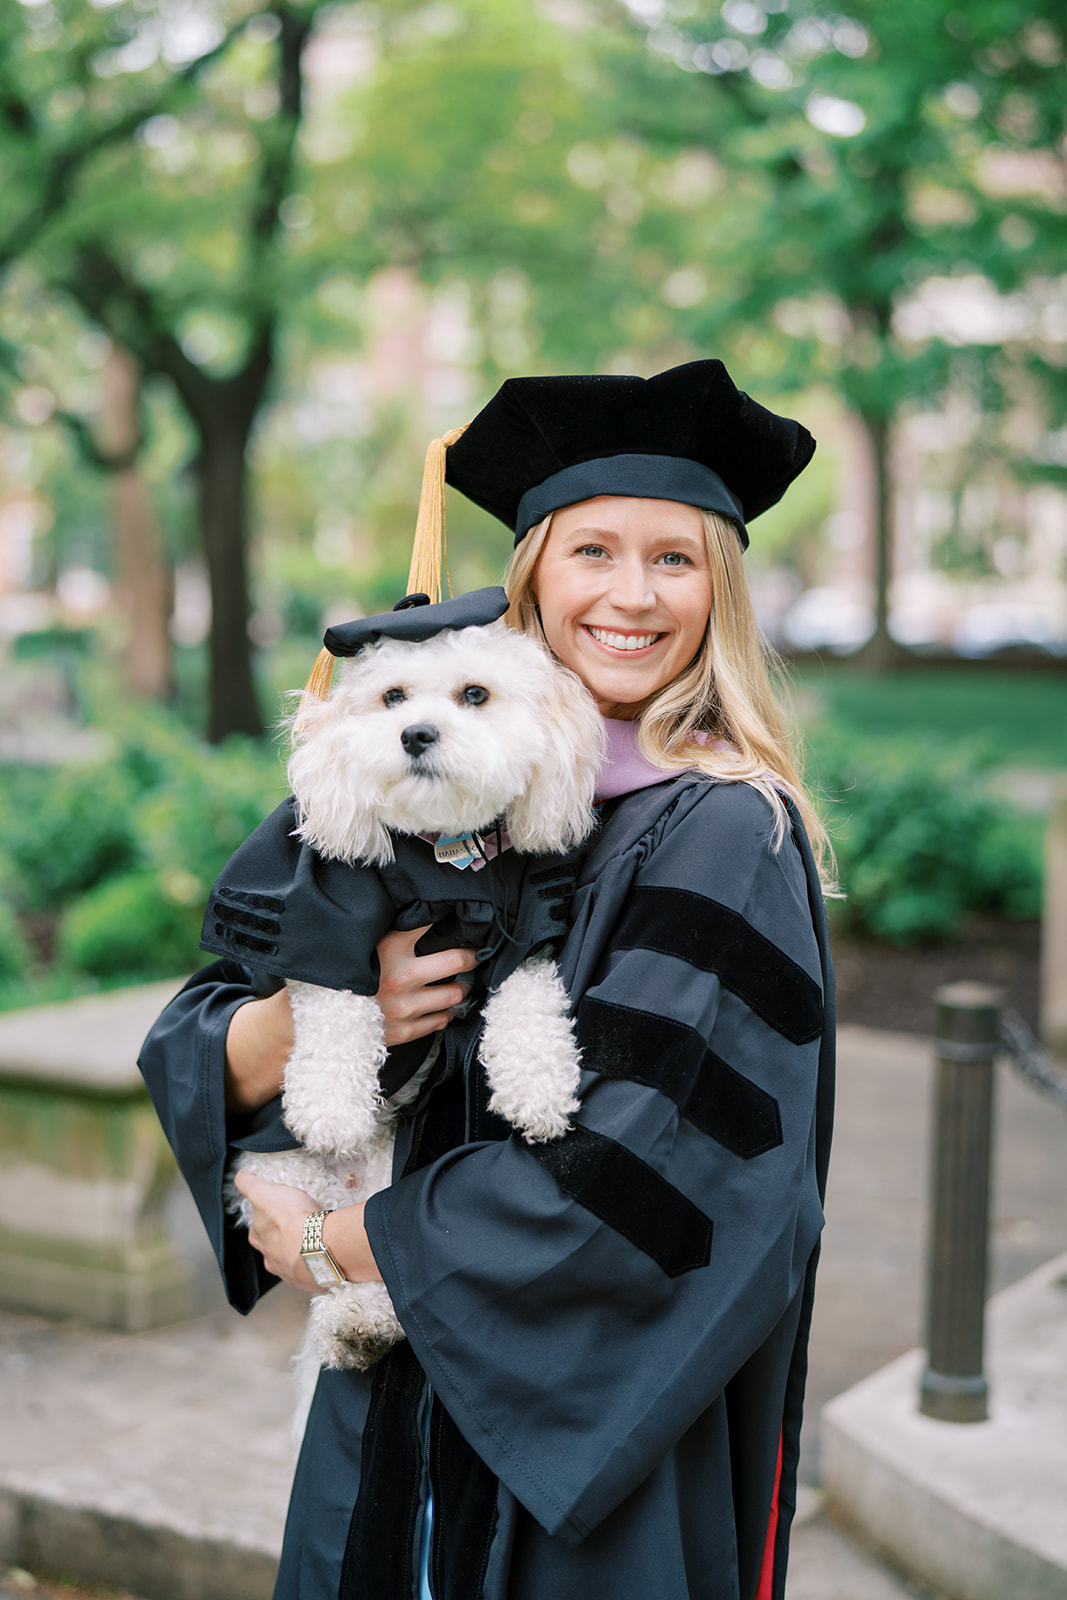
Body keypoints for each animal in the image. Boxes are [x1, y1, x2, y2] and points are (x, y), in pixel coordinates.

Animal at [230, 617, 604, 1369]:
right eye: (392, 696)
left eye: (475, 694)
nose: (416, 734)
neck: (444, 852)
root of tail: (346, 1182)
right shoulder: (321, 903)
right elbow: (339, 1000)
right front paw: (330, 1106)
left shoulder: (527, 920)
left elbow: (527, 1000)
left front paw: (539, 1089)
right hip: (278, 1174)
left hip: (383, 1187)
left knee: (374, 1252)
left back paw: (360, 1324)